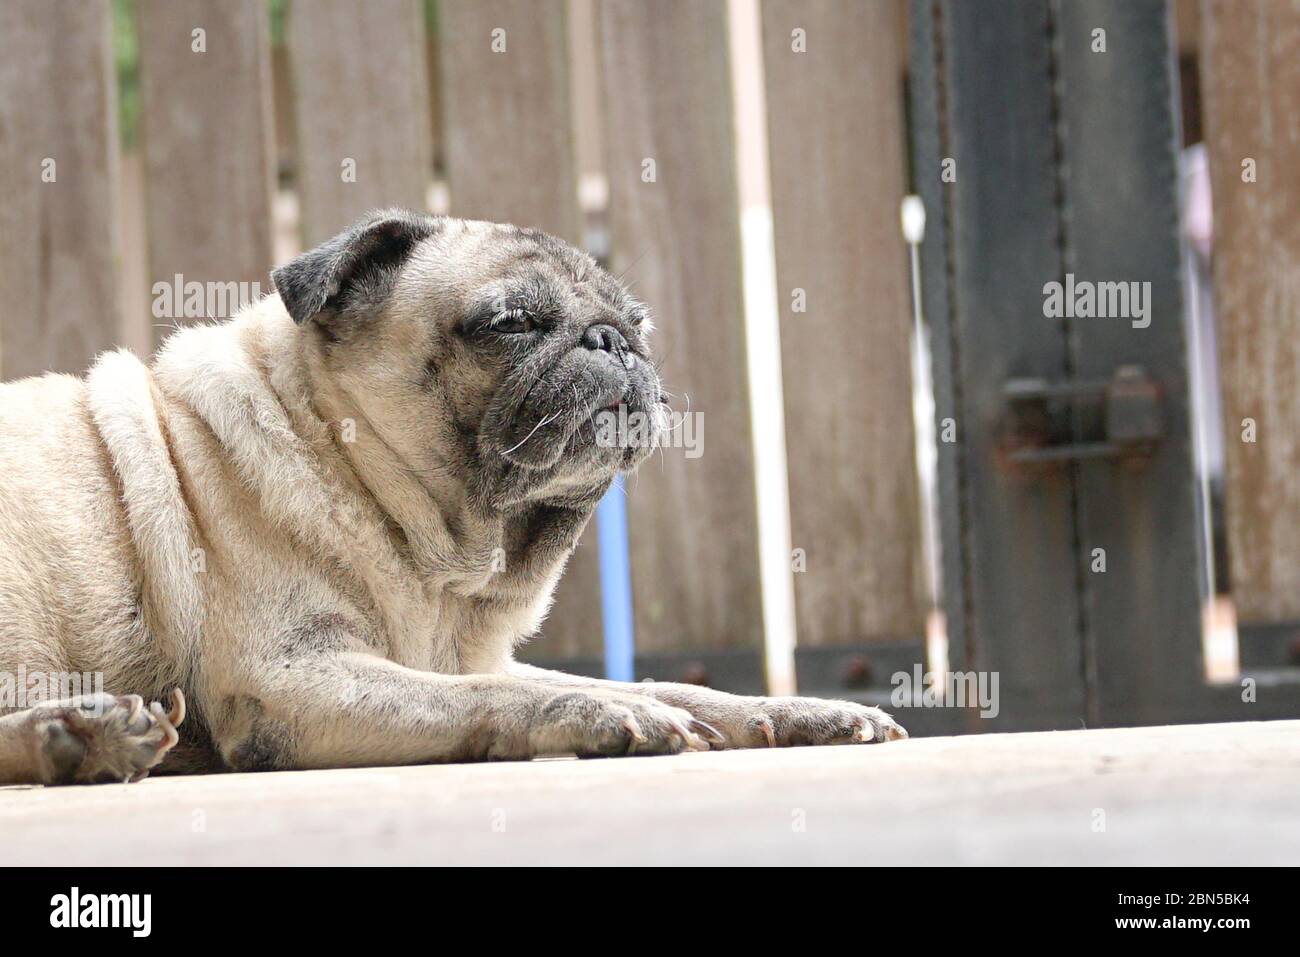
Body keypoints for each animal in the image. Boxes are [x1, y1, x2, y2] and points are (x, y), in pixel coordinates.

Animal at [0, 210, 909, 785]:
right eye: (510, 323)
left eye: (641, 324)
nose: (614, 341)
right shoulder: (294, 676)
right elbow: (490, 696)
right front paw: (591, 707)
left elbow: (671, 686)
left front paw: (794, 710)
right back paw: (81, 737)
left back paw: (75, 737)